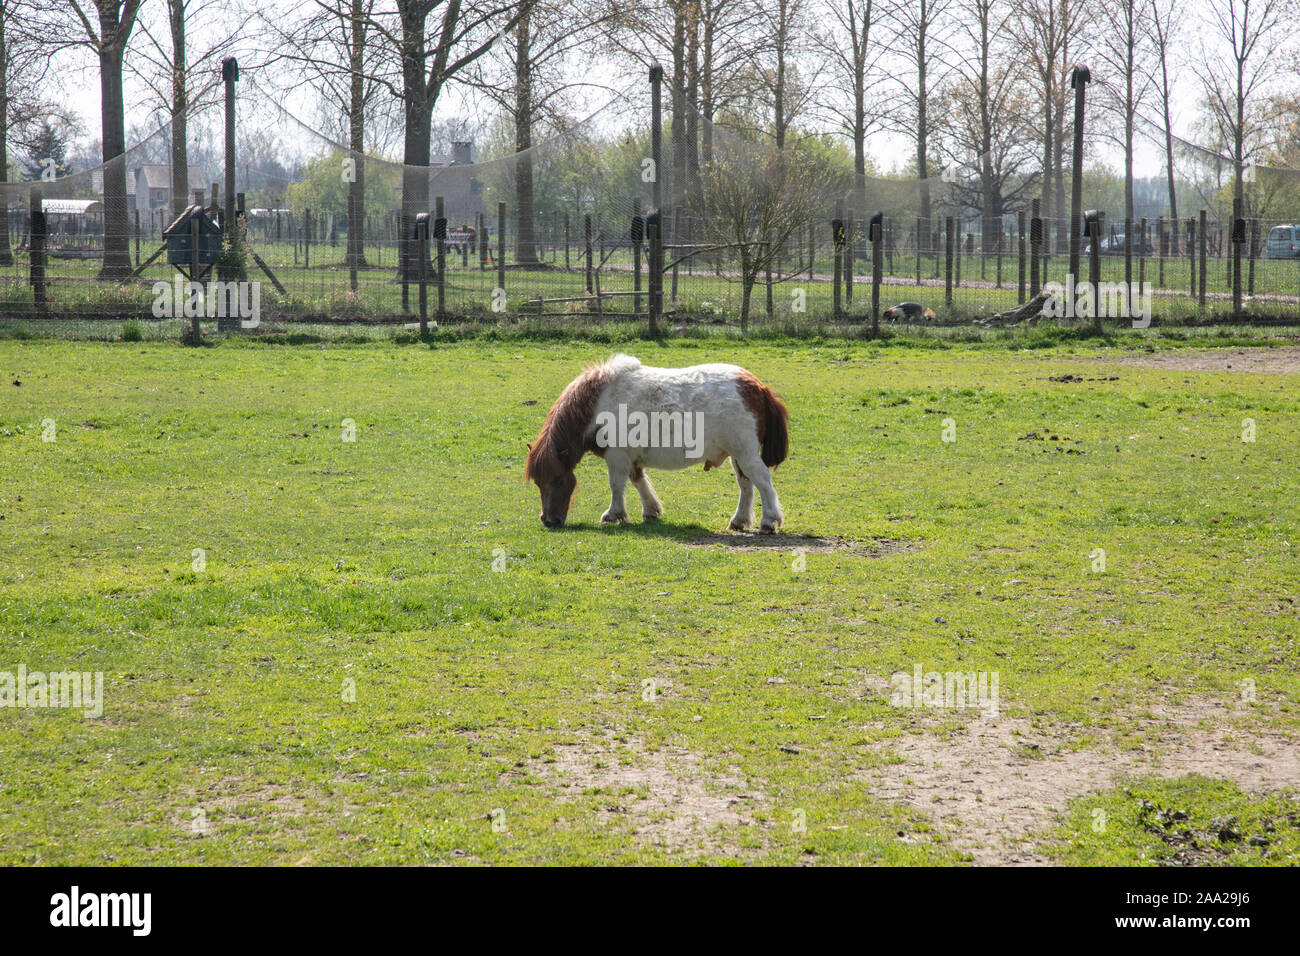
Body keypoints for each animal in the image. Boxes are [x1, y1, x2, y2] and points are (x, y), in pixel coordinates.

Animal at [525, 354, 788, 532]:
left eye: (559, 480)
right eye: (538, 483)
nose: (549, 521)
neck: (597, 404)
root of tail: (758, 387)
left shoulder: (616, 455)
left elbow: (616, 485)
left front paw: (613, 514)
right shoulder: (630, 457)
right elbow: (637, 481)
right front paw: (651, 510)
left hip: (745, 454)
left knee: (762, 481)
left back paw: (768, 521)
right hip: (737, 455)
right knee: (746, 484)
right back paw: (739, 520)